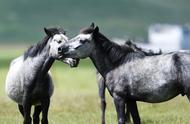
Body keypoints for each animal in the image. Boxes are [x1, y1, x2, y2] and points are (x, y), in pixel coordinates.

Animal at [58, 22, 190, 123]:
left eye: (82, 40)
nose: (60, 49)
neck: (117, 64)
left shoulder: (119, 99)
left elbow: (121, 120)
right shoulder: (131, 100)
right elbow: (136, 119)